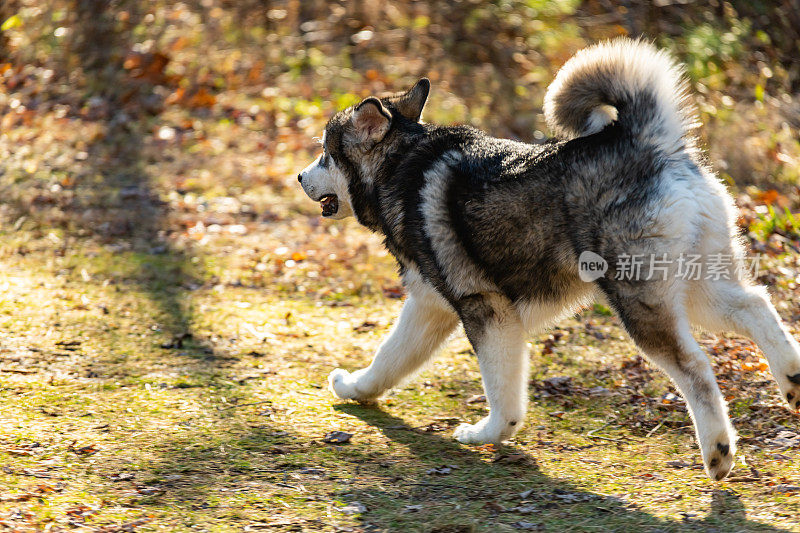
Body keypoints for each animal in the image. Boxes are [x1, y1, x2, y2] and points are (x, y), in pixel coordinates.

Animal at [298, 37, 800, 478]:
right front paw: (354, 388)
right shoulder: (429, 309)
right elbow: (388, 359)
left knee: (696, 368)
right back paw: (793, 380)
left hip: (641, 301)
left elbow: (503, 396)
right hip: (698, 288)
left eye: (324, 154)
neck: (400, 166)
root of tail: (646, 141)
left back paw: (717, 451)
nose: (299, 177)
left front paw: (487, 433)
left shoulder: (487, 311)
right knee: (755, 305)